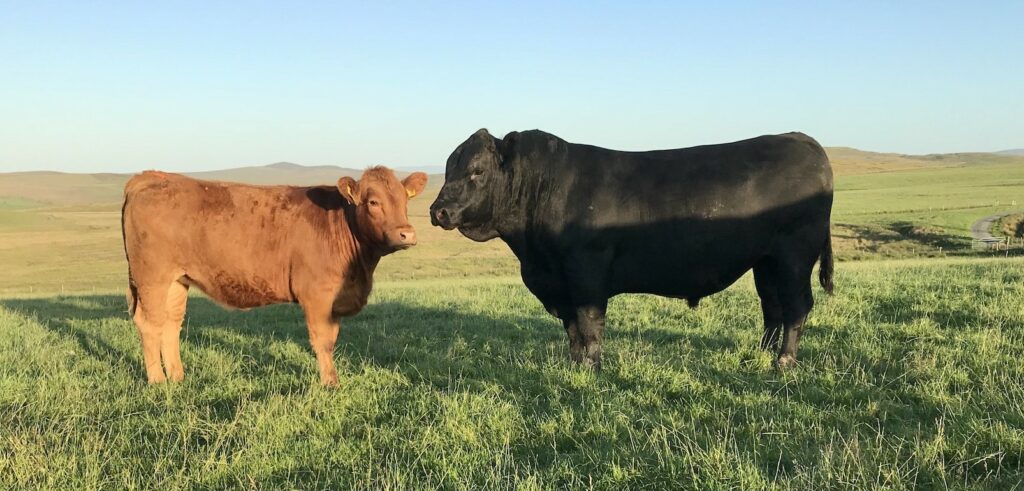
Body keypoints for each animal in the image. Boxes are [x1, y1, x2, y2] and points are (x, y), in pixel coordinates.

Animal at [121, 167, 428, 385]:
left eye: (405, 199)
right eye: (373, 202)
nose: (407, 233)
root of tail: (150, 177)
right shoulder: (317, 295)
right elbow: (324, 341)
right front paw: (330, 383)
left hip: (177, 280)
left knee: (170, 324)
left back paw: (178, 377)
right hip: (152, 278)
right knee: (150, 324)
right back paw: (158, 381)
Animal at [430, 129, 833, 370]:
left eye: (477, 171)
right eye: (448, 167)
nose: (438, 211)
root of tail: (801, 138)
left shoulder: (586, 272)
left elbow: (589, 323)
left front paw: (591, 367)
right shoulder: (559, 283)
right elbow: (572, 328)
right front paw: (574, 365)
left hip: (794, 257)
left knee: (797, 307)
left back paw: (784, 362)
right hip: (766, 262)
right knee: (773, 307)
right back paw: (762, 353)